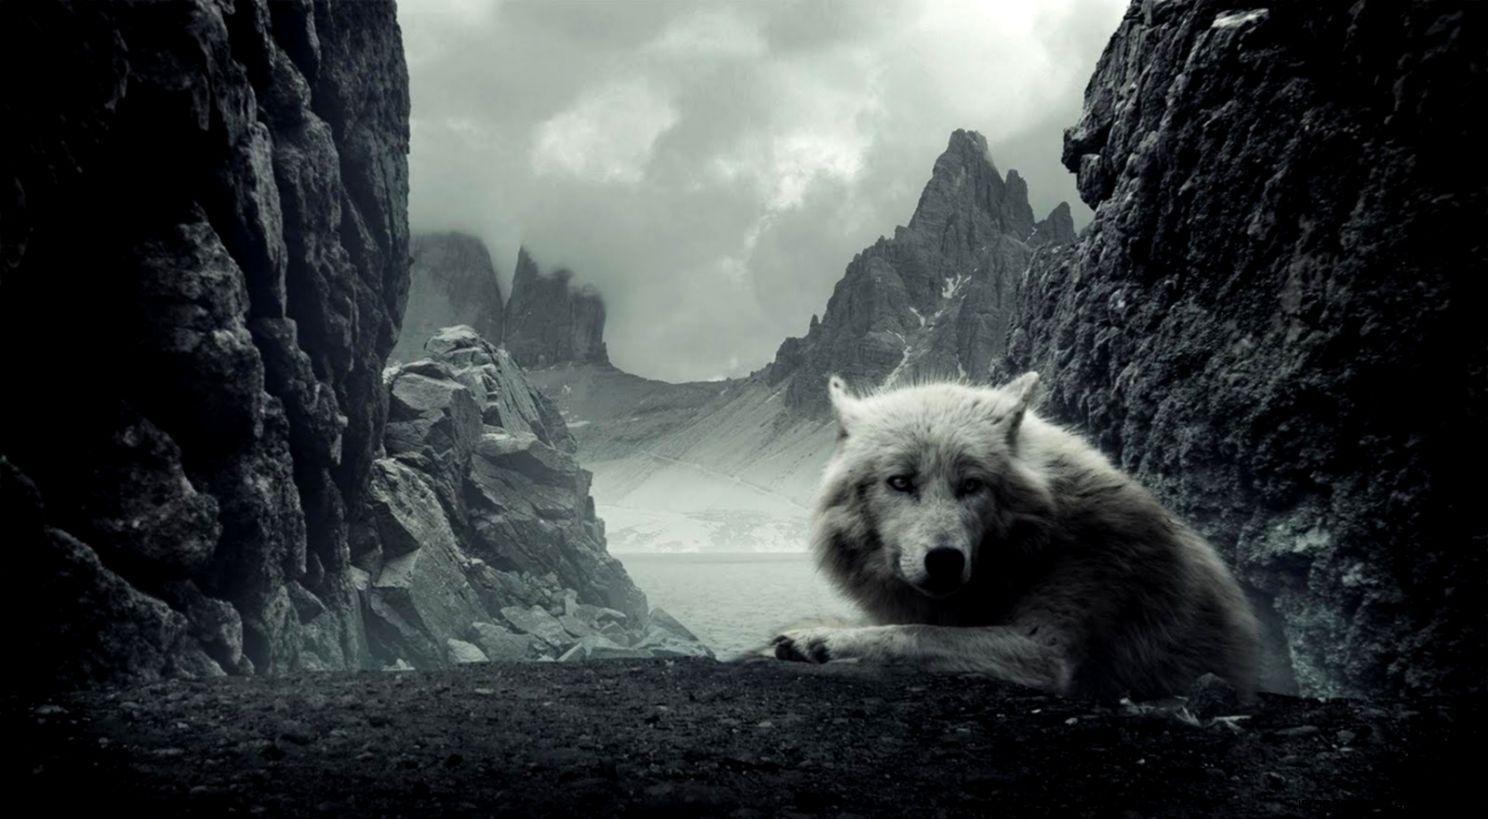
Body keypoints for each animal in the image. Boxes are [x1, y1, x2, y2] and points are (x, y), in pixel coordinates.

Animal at [768, 372, 1259, 700]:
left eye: (972, 485)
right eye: (900, 482)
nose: (944, 560)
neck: (1032, 548)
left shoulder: (1048, 651)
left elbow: (914, 634)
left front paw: (821, 640)